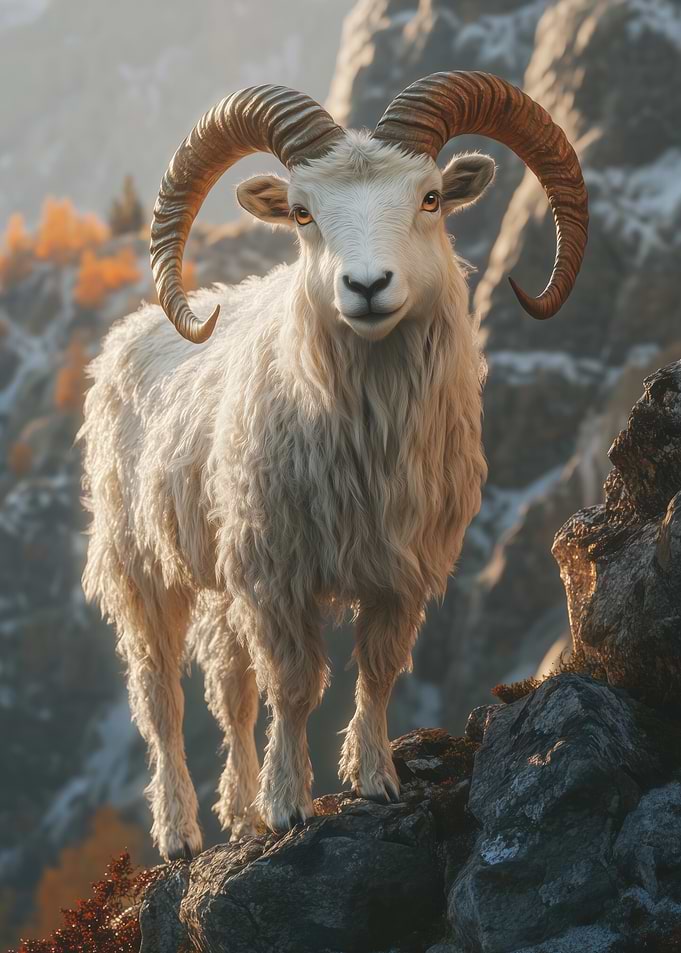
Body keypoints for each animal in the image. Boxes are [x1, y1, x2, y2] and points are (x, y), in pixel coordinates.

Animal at [80, 72, 587, 860]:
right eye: (301, 213)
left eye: (429, 198)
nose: (368, 286)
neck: (366, 439)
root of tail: (125, 336)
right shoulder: (277, 578)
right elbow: (294, 688)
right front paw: (290, 804)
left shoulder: (398, 571)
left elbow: (375, 672)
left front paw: (373, 779)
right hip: (143, 568)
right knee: (160, 697)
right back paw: (181, 832)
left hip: (224, 576)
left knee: (229, 690)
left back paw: (240, 813)